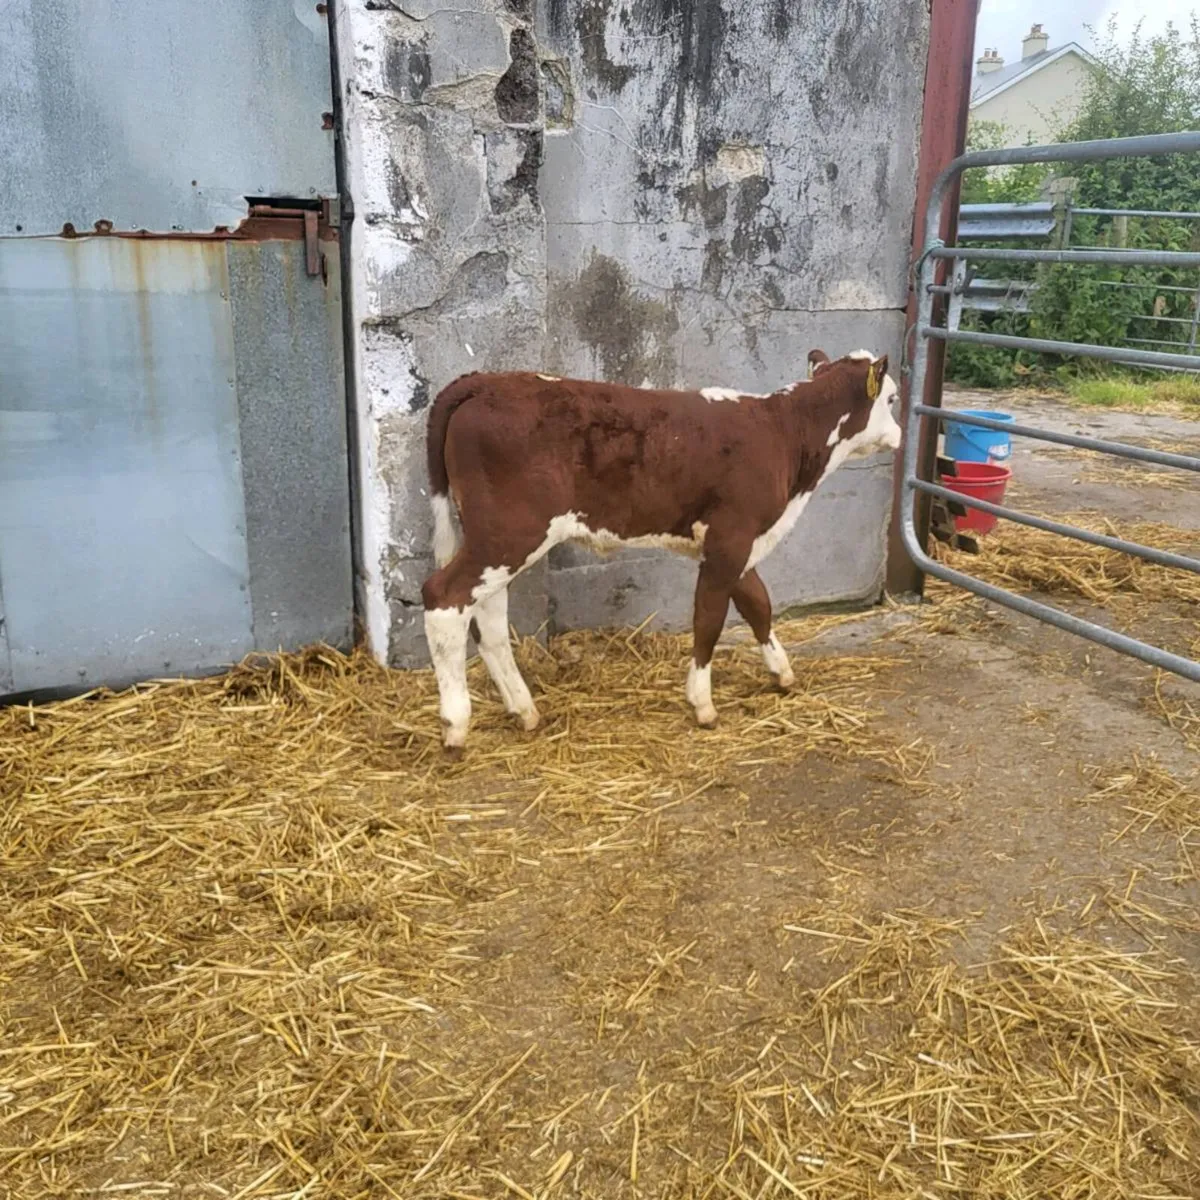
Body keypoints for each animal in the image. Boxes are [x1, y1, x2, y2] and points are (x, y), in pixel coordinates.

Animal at [420, 349, 902, 753]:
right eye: (895, 398)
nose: (899, 435)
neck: (782, 432)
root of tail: (484, 381)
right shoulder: (731, 538)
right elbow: (709, 620)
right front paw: (702, 703)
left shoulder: (733, 544)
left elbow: (758, 605)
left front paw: (781, 674)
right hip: (511, 532)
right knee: (444, 598)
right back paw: (455, 724)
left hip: (497, 540)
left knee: (487, 616)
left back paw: (523, 709)